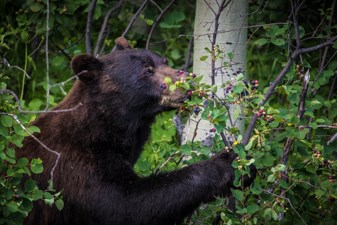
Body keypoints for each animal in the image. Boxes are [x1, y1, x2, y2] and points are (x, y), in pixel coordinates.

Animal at [18, 38, 255, 225]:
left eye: (165, 61)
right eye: (147, 70)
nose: (189, 80)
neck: (104, 128)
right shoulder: (77, 165)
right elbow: (125, 204)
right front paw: (227, 164)